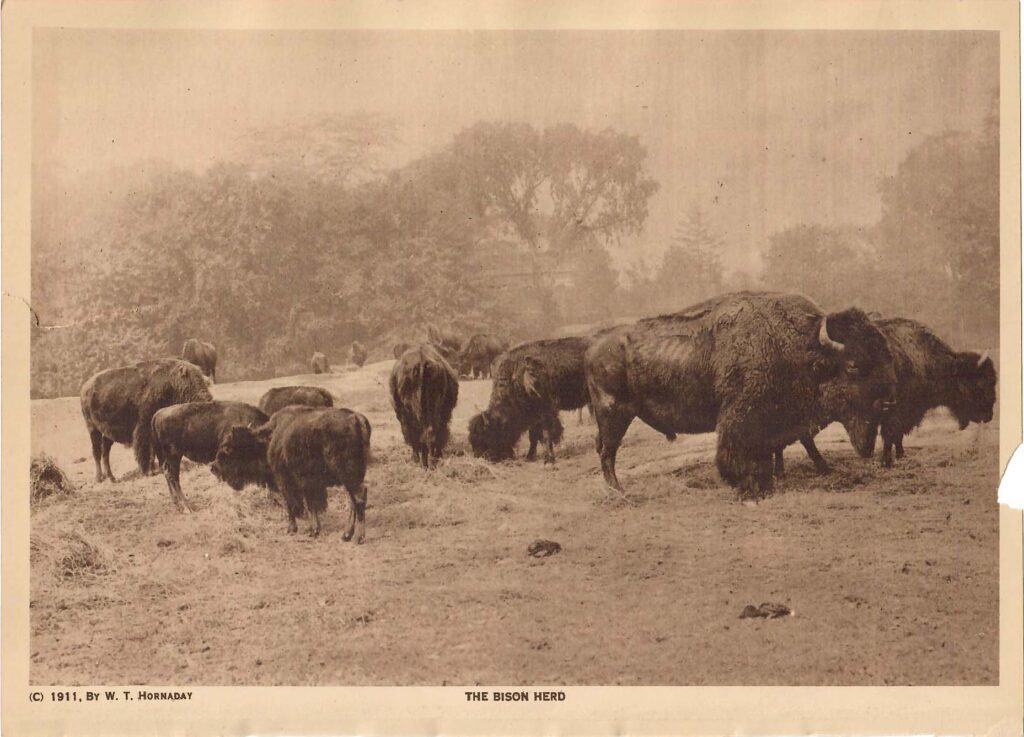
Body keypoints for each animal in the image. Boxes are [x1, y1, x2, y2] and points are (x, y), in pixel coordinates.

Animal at [81, 358, 214, 483]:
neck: (174, 385)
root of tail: (85, 388)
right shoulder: (144, 427)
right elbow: (145, 449)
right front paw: (148, 472)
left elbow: (157, 451)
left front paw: (160, 468)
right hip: (92, 428)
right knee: (97, 452)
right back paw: (99, 478)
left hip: (107, 433)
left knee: (105, 452)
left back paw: (111, 478)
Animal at [211, 403, 372, 540]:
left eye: (228, 448)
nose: (213, 467)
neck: (270, 436)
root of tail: (356, 418)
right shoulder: (308, 483)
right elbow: (311, 504)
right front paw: (313, 529)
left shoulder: (285, 479)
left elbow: (292, 504)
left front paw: (294, 529)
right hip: (350, 478)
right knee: (352, 501)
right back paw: (346, 534)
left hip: (348, 475)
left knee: (359, 496)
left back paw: (358, 537)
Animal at [585, 290, 897, 497]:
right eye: (854, 365)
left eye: (886, 357)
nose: (886, 403)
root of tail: (592, 348)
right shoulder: (739, 415)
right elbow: (735, 451)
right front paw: (745, 485)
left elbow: (767, 452)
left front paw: (765, 482)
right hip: (614, 413)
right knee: (607, 451)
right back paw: (619, 491)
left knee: (603, 448)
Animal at [868, 317, 995, 466]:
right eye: (979, 384)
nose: (989, 416)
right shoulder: (896, 411)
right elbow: (891, 433)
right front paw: (887, 462)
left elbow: (898, 435)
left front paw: (901, 455)